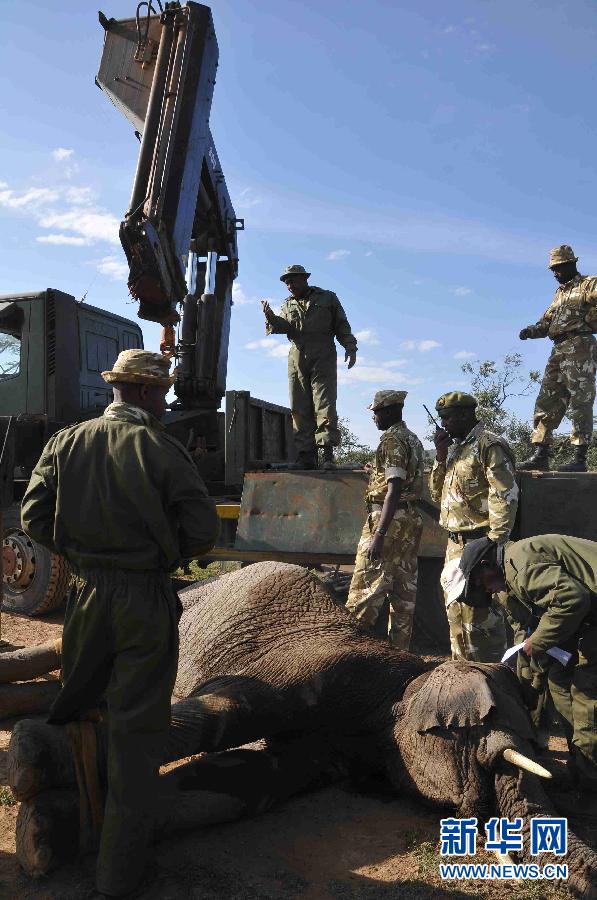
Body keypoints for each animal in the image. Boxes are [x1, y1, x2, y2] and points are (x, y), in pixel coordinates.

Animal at [7, 564, 596, 892]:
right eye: (487, 747)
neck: (405, 674)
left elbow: (247, 782)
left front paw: (42, 835)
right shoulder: (310, 670)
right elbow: (225, 712)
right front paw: (28, 760)